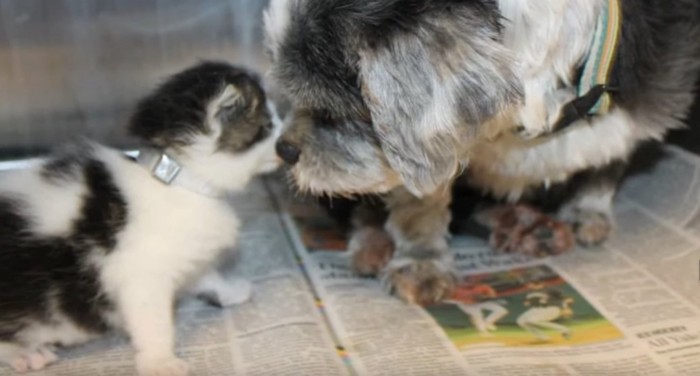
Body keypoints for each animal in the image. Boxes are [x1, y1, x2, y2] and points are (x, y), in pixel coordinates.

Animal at [0, 60, 282, 374]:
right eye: (267, 126)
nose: (289, 147)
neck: (176, 181)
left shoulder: (184, 254)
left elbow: (206, 275)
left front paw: (230, 290)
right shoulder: (142, 277)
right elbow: (154, 323)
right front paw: (160, 361)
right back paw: (26, 353)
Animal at [262, 0, 700, 306]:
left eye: (333, 109)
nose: (284, 149)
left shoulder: (641, 103)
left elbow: (606, 161)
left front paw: (587, 211)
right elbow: (420, 207)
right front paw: (421, 264)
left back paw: (530, 228)